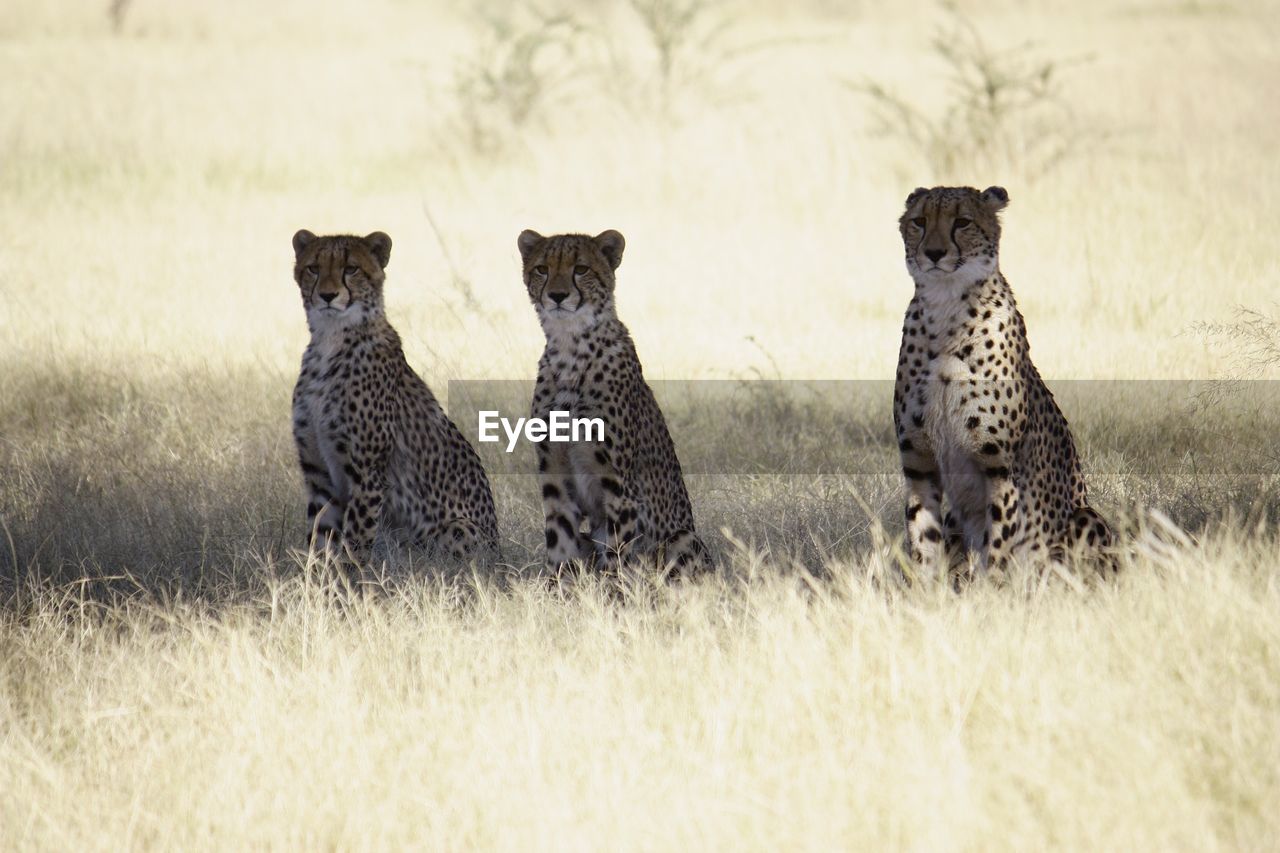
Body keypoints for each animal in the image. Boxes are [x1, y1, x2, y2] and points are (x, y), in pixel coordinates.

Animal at [293, 229, 496, 560]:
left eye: (351, 268)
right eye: (313, 268)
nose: (327, 295)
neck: (330, 339)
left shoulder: (367, 473)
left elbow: (356, 542)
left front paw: (351, 574)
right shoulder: (318, 473)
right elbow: (319, 539)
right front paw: (315, 575)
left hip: (457, 529)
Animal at [517, 227, 711, 578]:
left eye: (581, 269)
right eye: (542, 269)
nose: (557, 295)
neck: (570, 347)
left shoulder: (618, 485)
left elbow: (617, 555)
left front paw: (613, 592)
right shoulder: (554, 477)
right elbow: (559, 545)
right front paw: (556, 590)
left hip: (682, 537)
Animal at [896, 181, 1116, 573]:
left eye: (963, 222)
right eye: (919, 221)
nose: (934, 253)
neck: (945, 311)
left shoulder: (998, 469)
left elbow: (997, 549)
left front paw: (993, 587)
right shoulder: (919, 463)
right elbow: (924, 544)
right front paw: (923, 587)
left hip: (1084, 518)